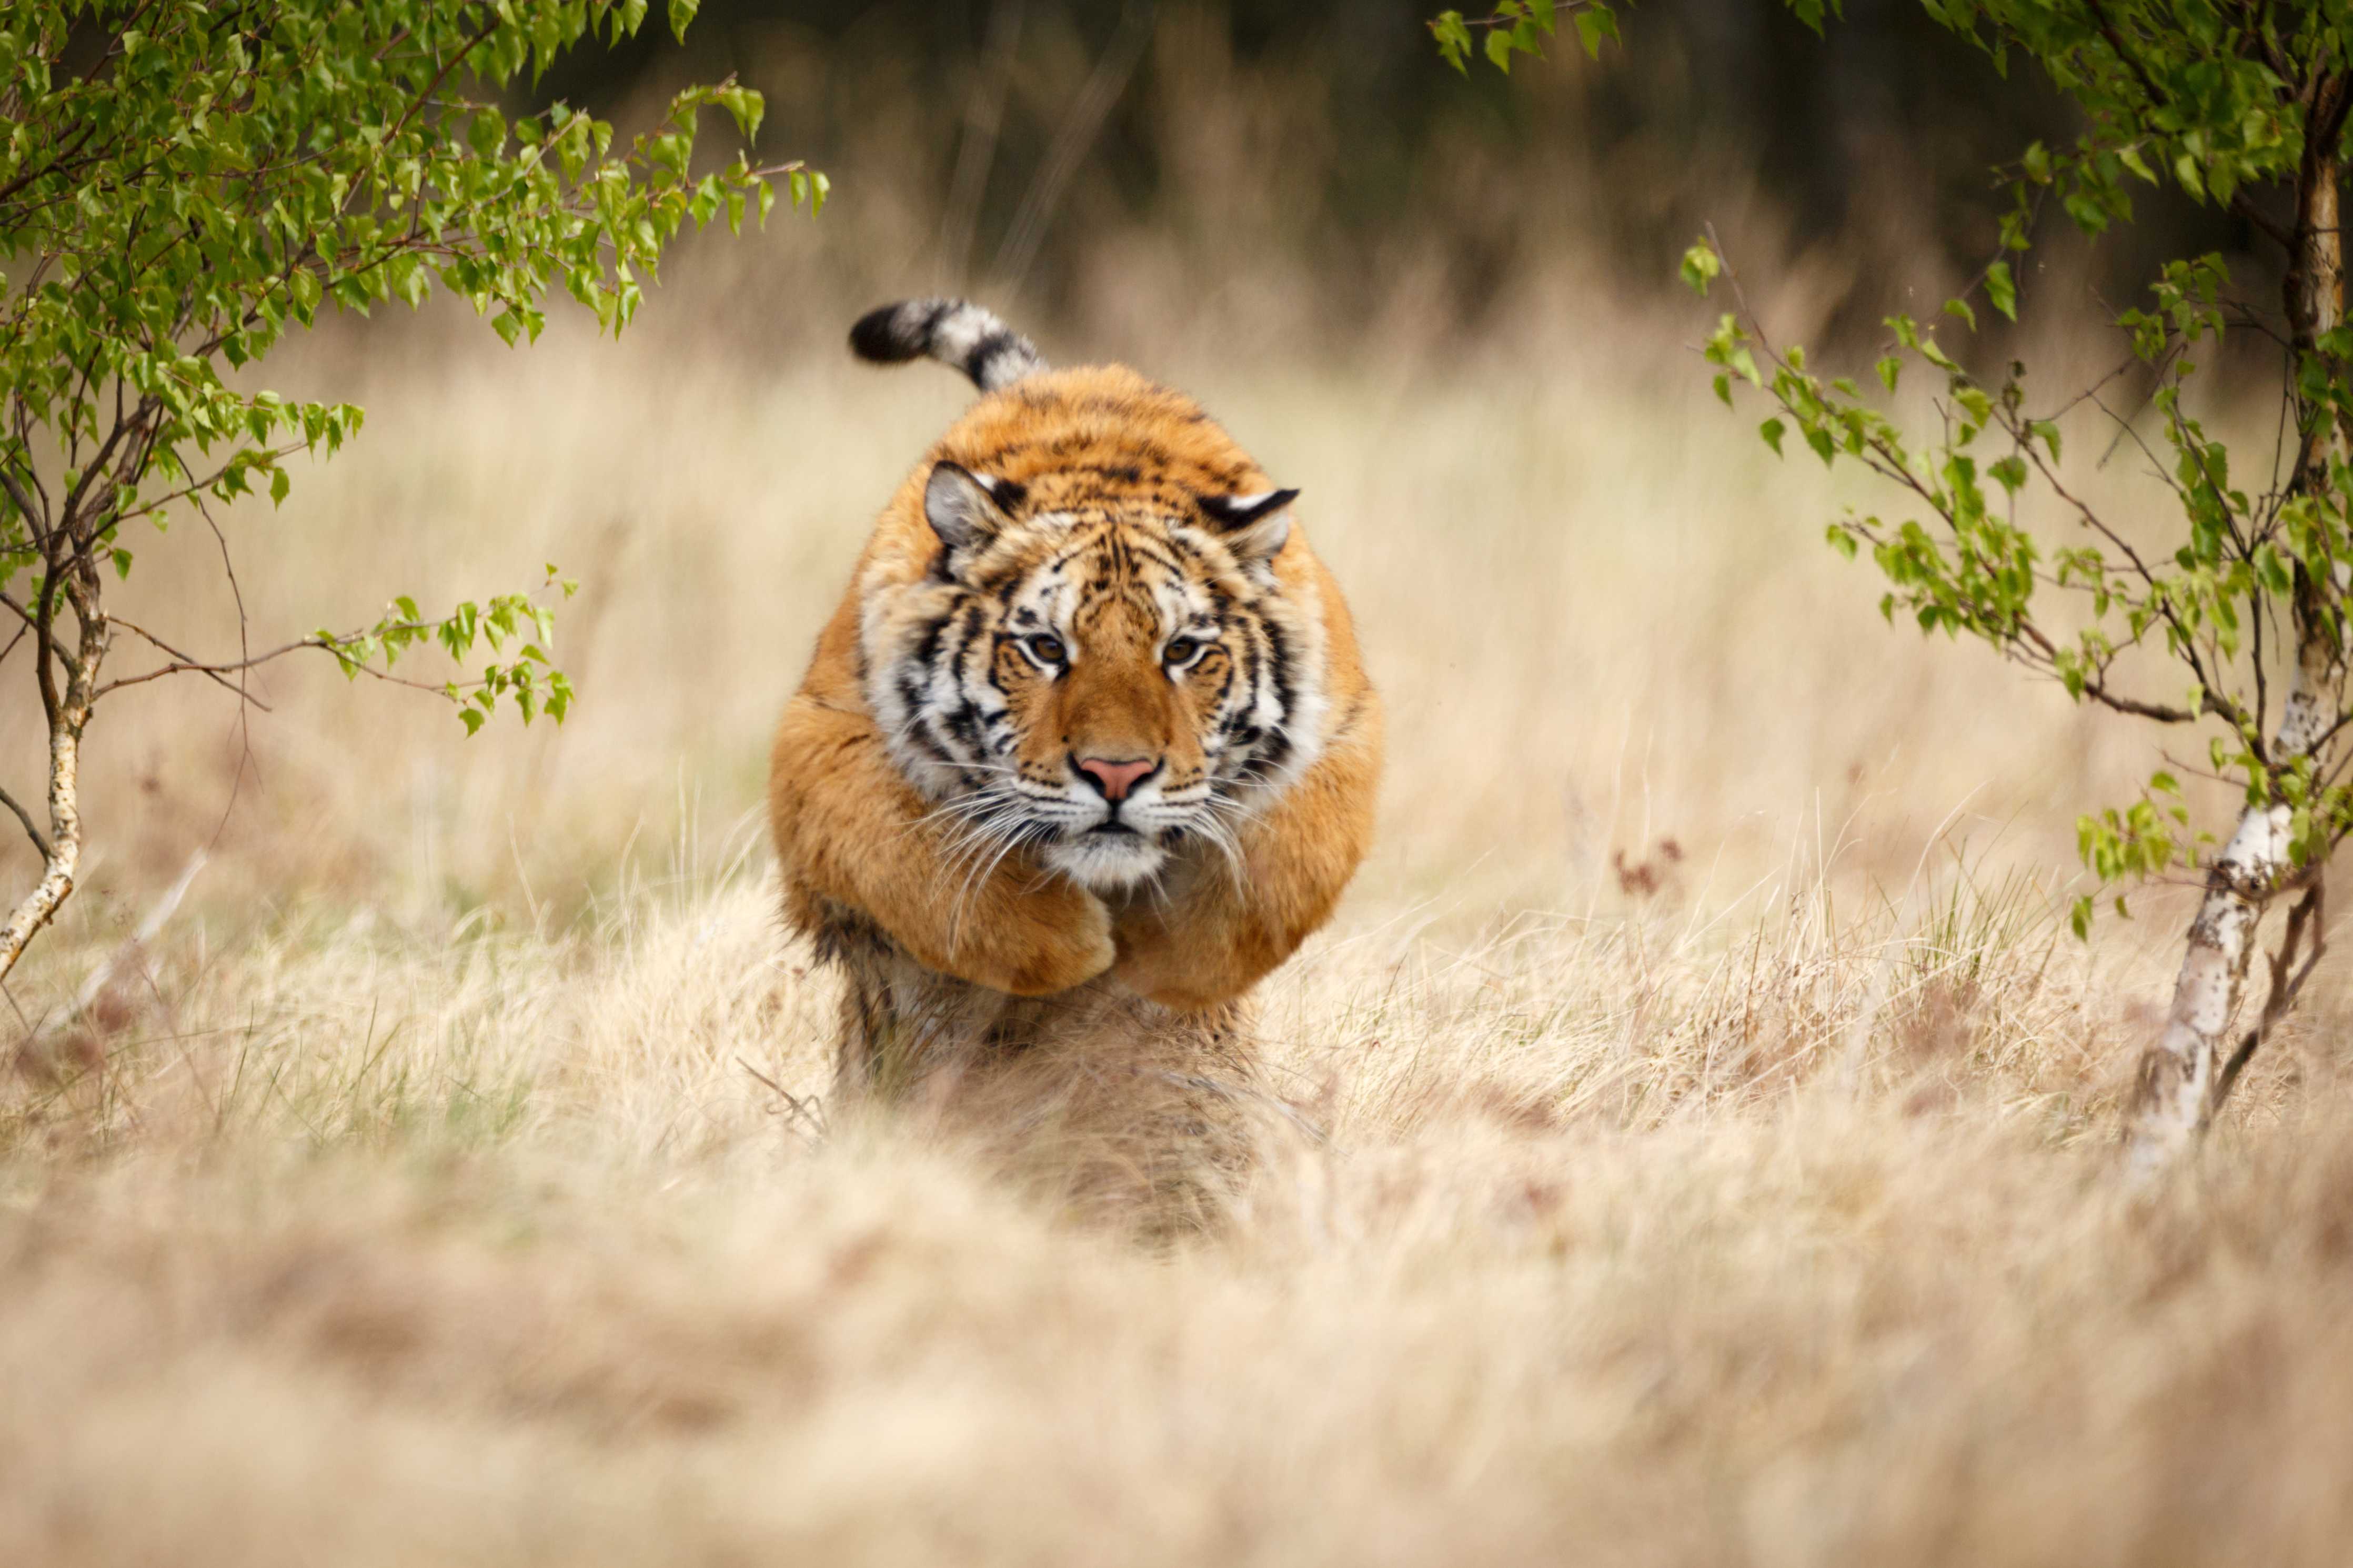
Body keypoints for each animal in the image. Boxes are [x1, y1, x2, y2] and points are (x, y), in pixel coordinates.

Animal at [766, 298, 1382, 1096]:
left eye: (1181, 651)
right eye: (1046, 648)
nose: (1116, 775)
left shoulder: (1345, 732)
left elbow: (1279, 874)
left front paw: (1167, 963)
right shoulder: (824, 744)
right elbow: (916, 864)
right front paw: (1076, 946)